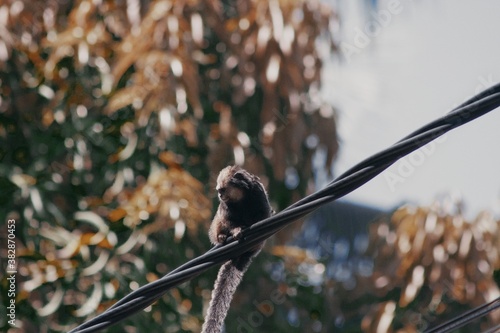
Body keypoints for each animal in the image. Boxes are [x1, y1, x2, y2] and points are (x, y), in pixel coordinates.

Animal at [200, 165, 274, 330]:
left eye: (222, 190)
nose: (220, 195)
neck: (241, 197)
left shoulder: (258, 192)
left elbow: (264, 213)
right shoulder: (226, 206)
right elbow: (227, 219)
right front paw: (235, 231)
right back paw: (222, 237)